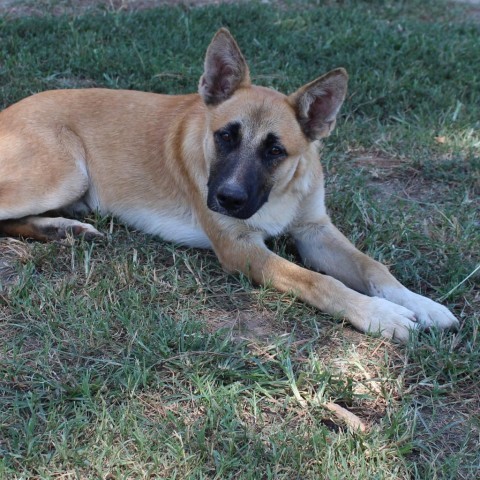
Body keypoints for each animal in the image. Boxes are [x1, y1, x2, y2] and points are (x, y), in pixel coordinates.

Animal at [0, 28, 458, 342]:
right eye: (225, 136)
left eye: (276, 151)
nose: (227, 199)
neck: (278, 194)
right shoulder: (240, 248)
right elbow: (319, 281)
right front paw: (380, 314)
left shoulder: (315, 230)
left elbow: (371, 266)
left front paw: (421, 304)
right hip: (64, 174)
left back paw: (63, 229)